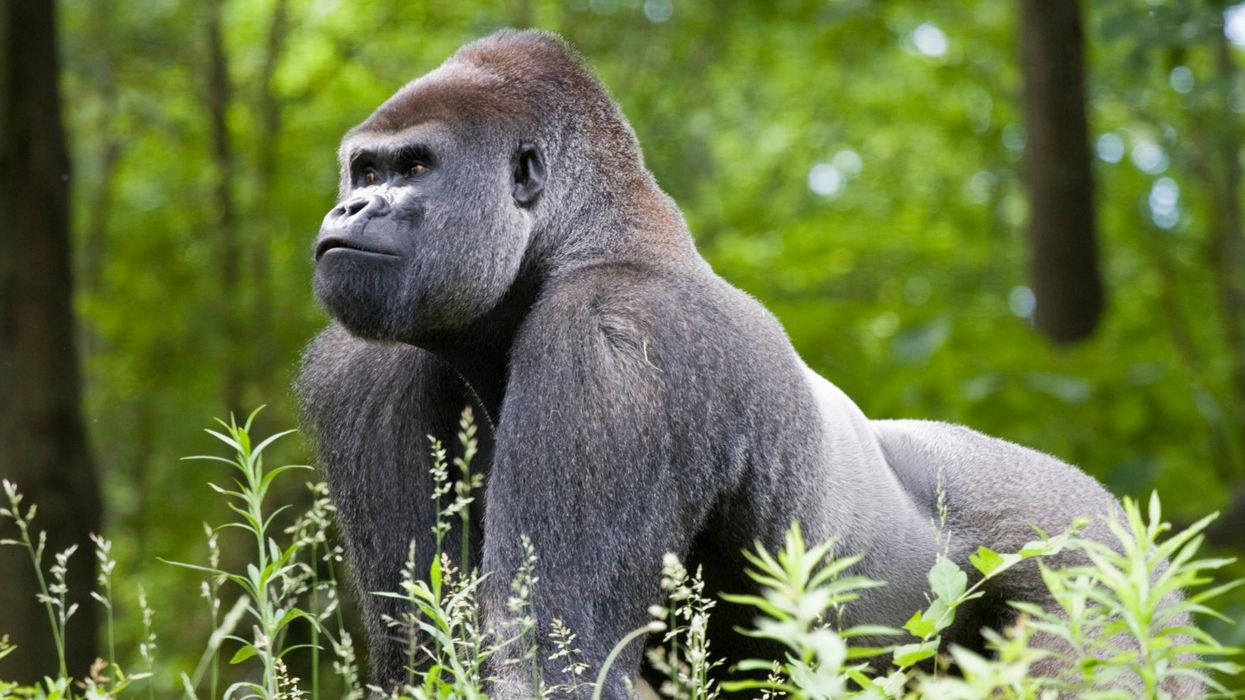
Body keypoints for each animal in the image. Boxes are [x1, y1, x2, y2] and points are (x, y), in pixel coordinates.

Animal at [297, 29, 1196, 698]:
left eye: (415, 168)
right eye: (365, 169)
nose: (350, 207)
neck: (580, 240)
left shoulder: (614, 340)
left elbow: (555, 656)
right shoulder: (366, 370)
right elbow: (425, 654)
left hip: (1098, 567)